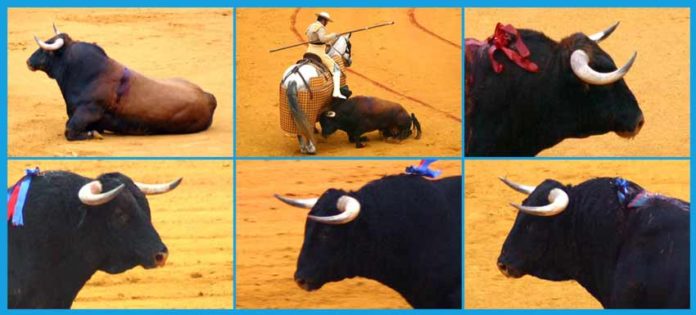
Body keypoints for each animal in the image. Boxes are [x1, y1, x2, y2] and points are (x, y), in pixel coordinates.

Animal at [27, 25, 215, 141]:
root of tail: (208, 98)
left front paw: (94, 134)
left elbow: (69, 130)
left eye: (46, 50)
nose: (28, 61)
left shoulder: (86, 112)